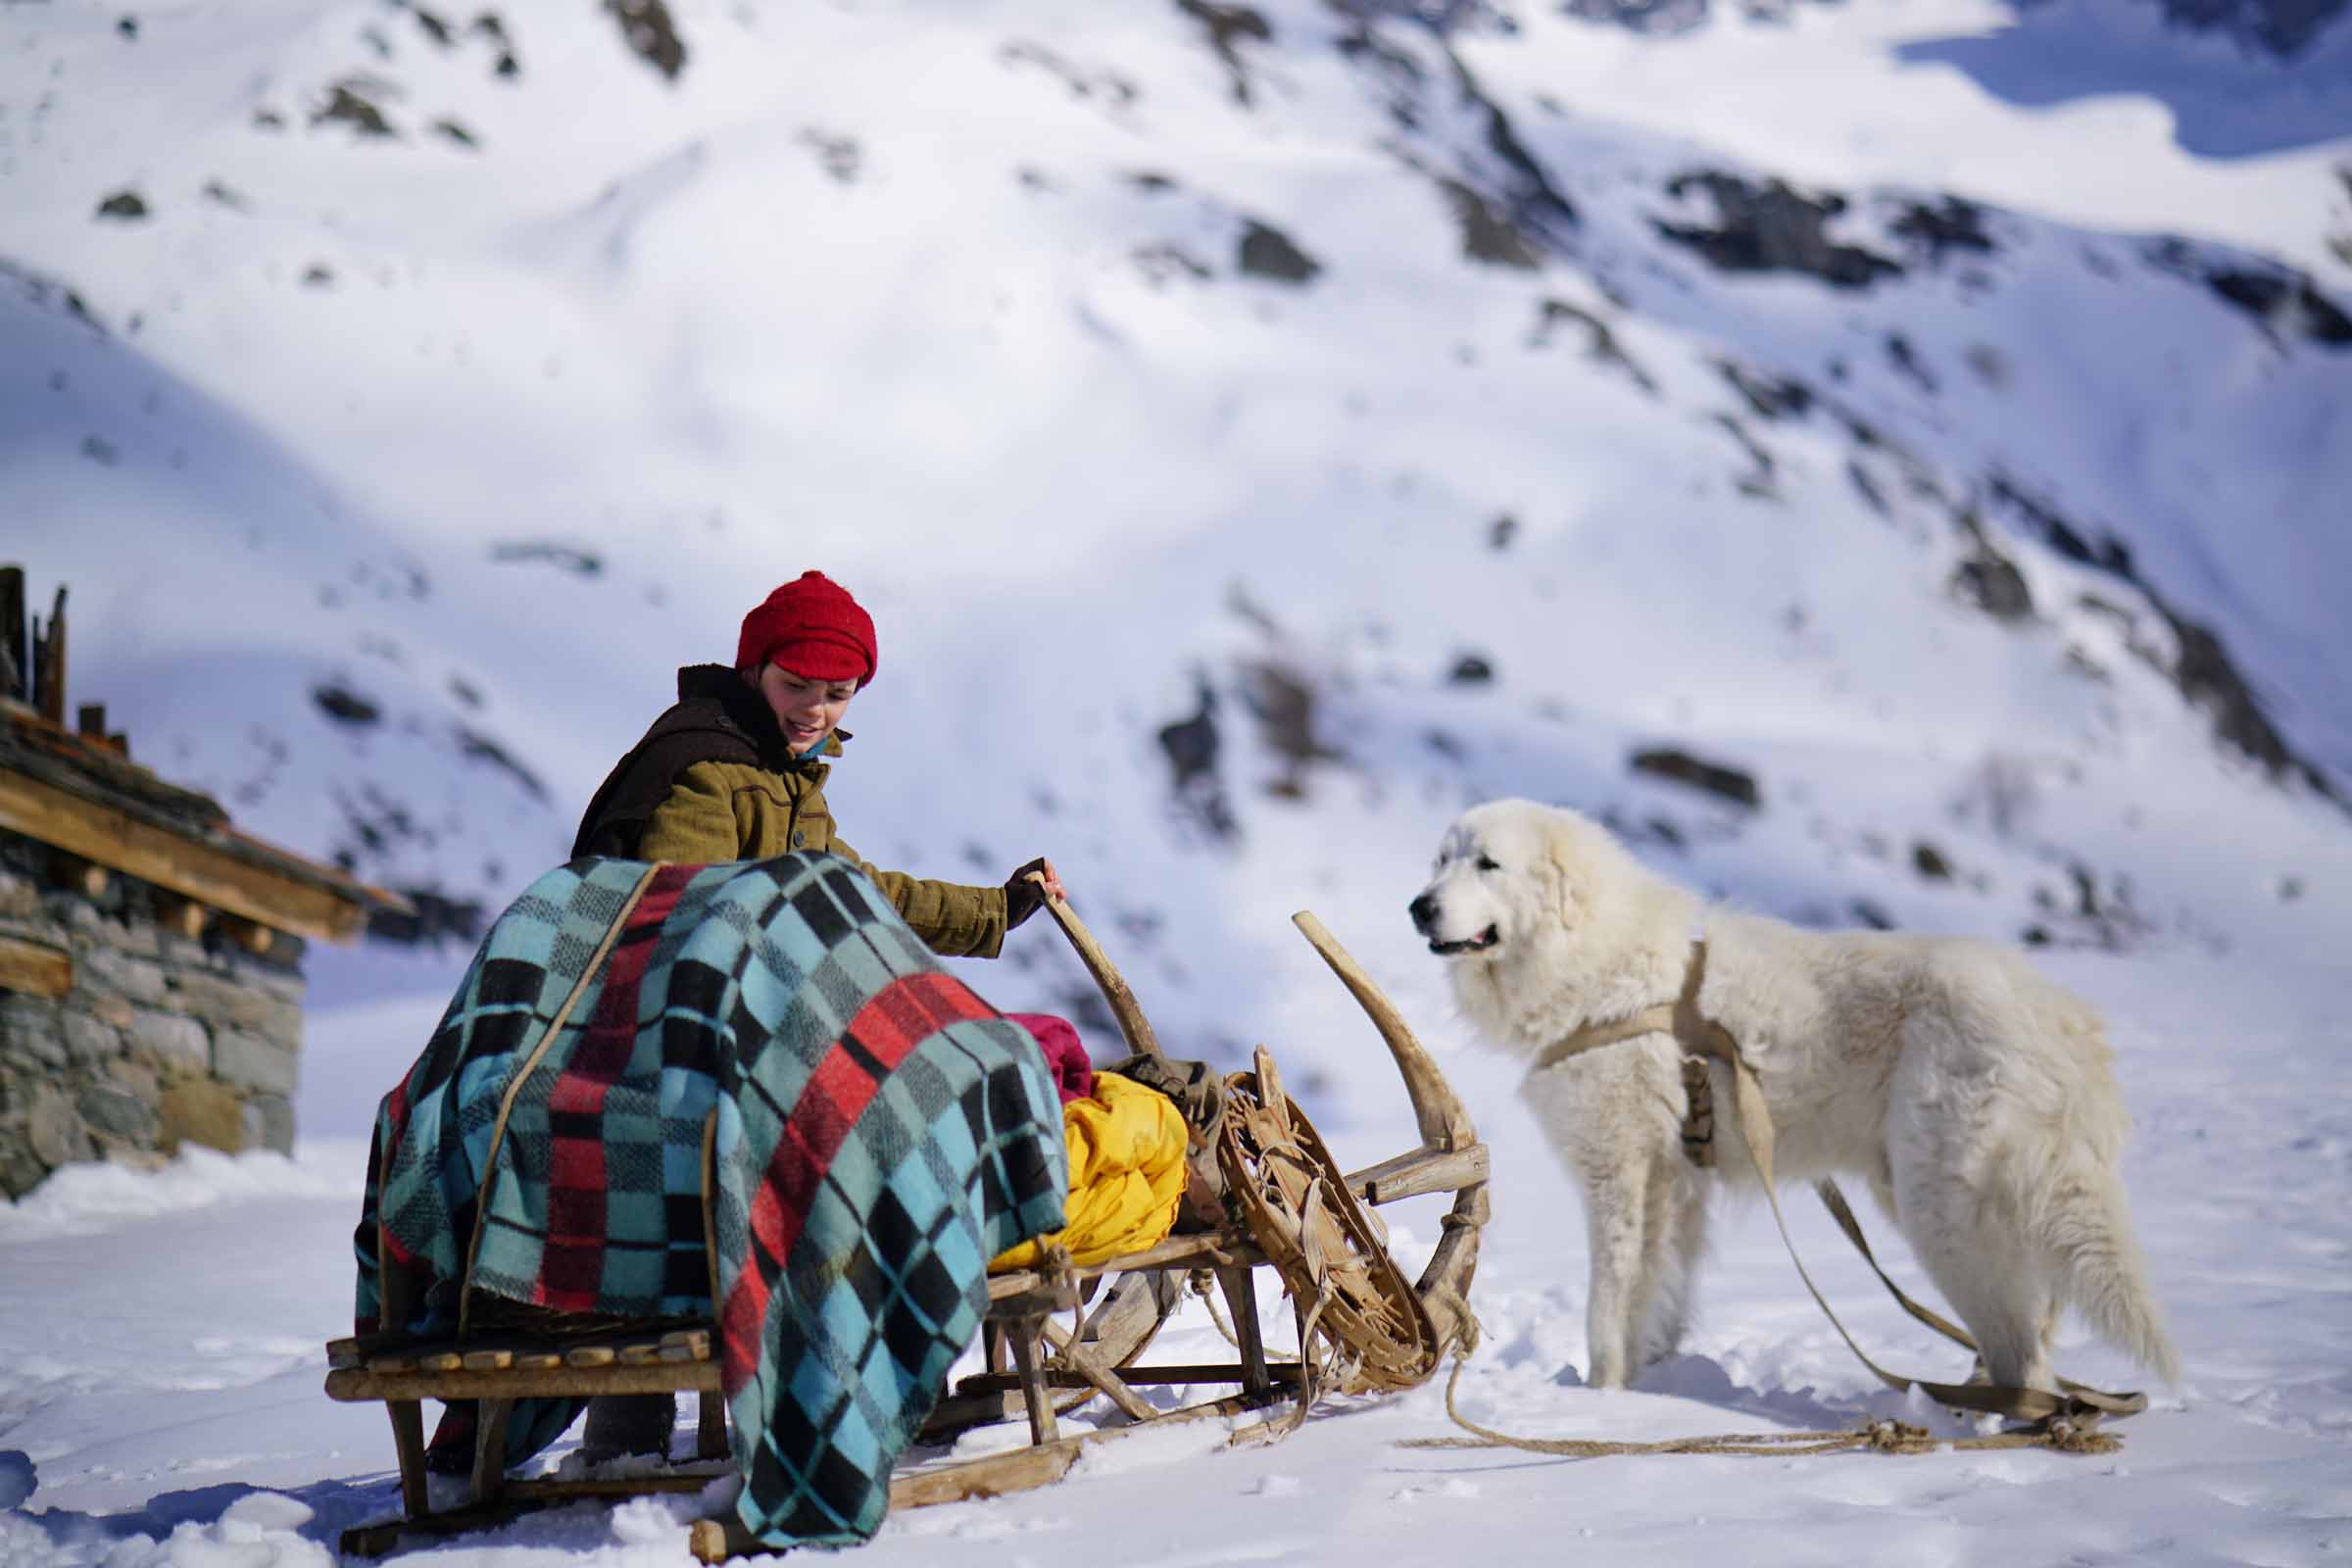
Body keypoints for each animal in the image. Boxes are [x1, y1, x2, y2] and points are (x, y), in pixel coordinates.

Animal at [1401, 804, 2173, 1392]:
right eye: (1439, 859)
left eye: (1488, 864)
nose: (1418, 905)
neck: (1592, 964)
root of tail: (2066, 1022)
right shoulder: (1676, 1188)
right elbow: (1661, 1295)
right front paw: (1654, 1383)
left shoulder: (1619, 1174)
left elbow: (1606, 1306)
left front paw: (1601, 1395)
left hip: (1942, 1209)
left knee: (2023, 1350)